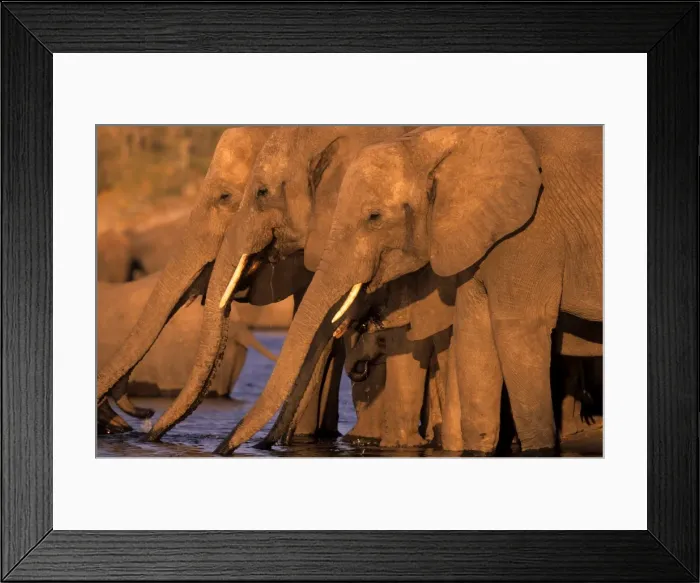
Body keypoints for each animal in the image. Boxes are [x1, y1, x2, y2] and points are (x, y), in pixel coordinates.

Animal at [216, 125, 602, 455]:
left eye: (373, 217)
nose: (226, 449)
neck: (435, 143)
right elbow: (474, 337)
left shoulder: (532, 233)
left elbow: (516, 331)